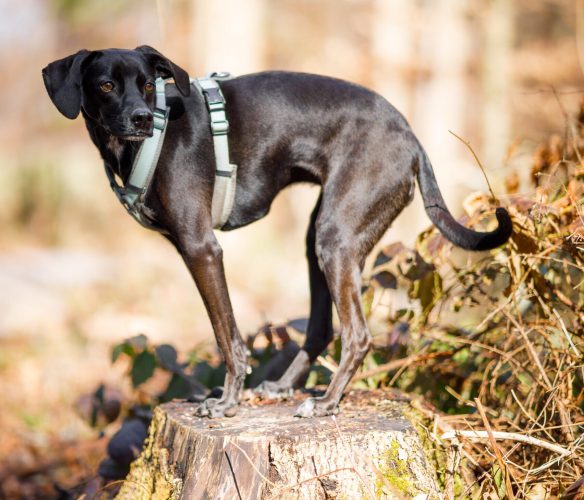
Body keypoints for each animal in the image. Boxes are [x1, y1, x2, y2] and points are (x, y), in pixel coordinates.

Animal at [43, 47, 512, 416]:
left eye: (146, 86)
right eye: (106, 85)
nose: (142, 118)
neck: (143, 145)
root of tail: (411, 138)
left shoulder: (202, 248)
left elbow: (228, 336)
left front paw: (227, 402)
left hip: (336, 239)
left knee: (358, 336)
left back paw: (327, 403)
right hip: (319, 241)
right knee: (322, 329)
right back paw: (287, 387)